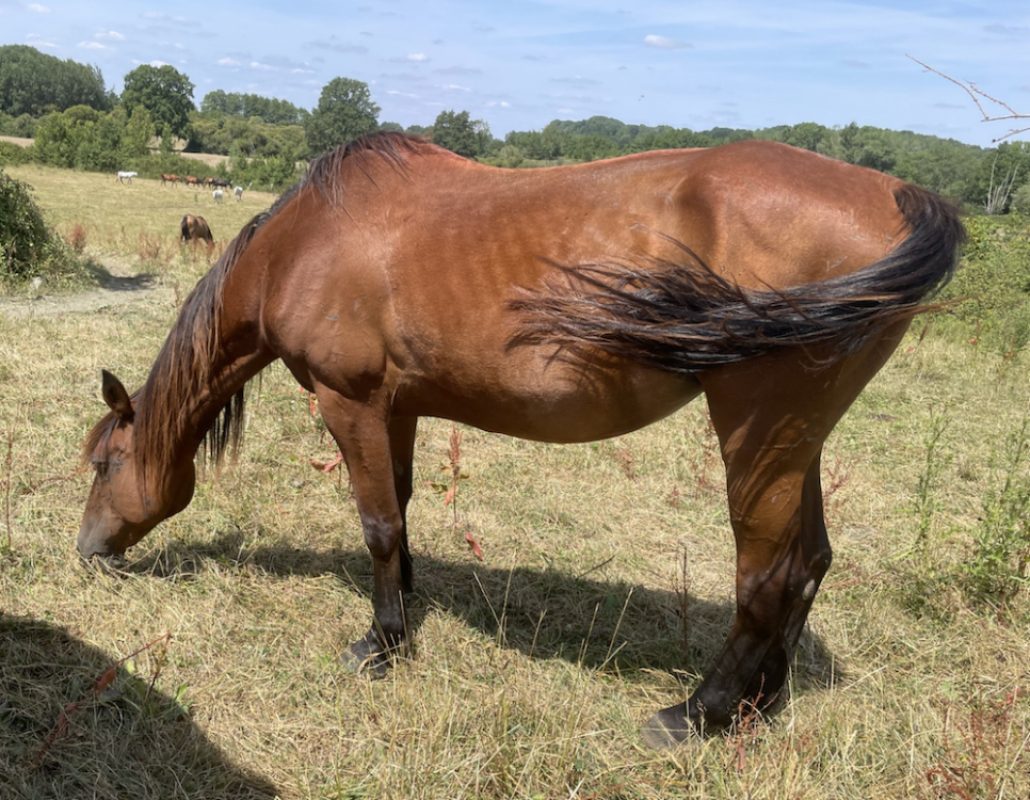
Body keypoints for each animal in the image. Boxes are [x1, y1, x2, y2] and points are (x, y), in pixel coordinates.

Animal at [79, 133, 963, 747]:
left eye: (104, 464)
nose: (88, 551)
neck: (305, 243)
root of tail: (898, 194)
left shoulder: (350, 401)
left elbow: (376, 523)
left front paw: (380, 645)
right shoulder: (397, 407)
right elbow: (400, 508)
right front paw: (408, 607)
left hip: (761, 431)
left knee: (769, 575)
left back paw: (699, 715)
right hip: (800, 439)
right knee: (809, 562)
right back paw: (762, 705)